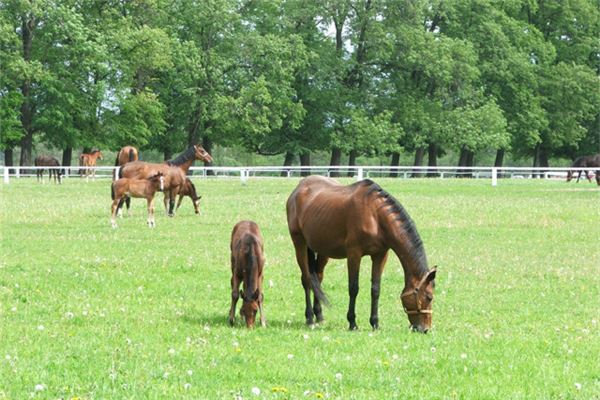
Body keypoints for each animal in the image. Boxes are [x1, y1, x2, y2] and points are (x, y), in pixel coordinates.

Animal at [286, 177, 436, 332]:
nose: (425, 329)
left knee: (318, 278)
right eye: (429, 297)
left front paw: (375, 323)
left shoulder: (380, 255)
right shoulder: (354, 254)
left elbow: (375, 289)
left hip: (322, 250)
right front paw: (352, 322)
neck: (375, 216)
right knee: (307, 280)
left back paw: (319, 315)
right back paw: (310, 318)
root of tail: (299, 188)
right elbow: (353, 288)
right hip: (300, 244)